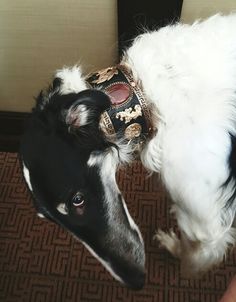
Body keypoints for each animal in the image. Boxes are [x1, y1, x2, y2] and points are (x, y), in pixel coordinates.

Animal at [20, 14, 236, 290]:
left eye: (77, 200)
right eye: (46, 218)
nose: (136, 281)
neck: (147, 96)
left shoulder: (207, 224)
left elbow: (195, 253)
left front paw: (175, 251)